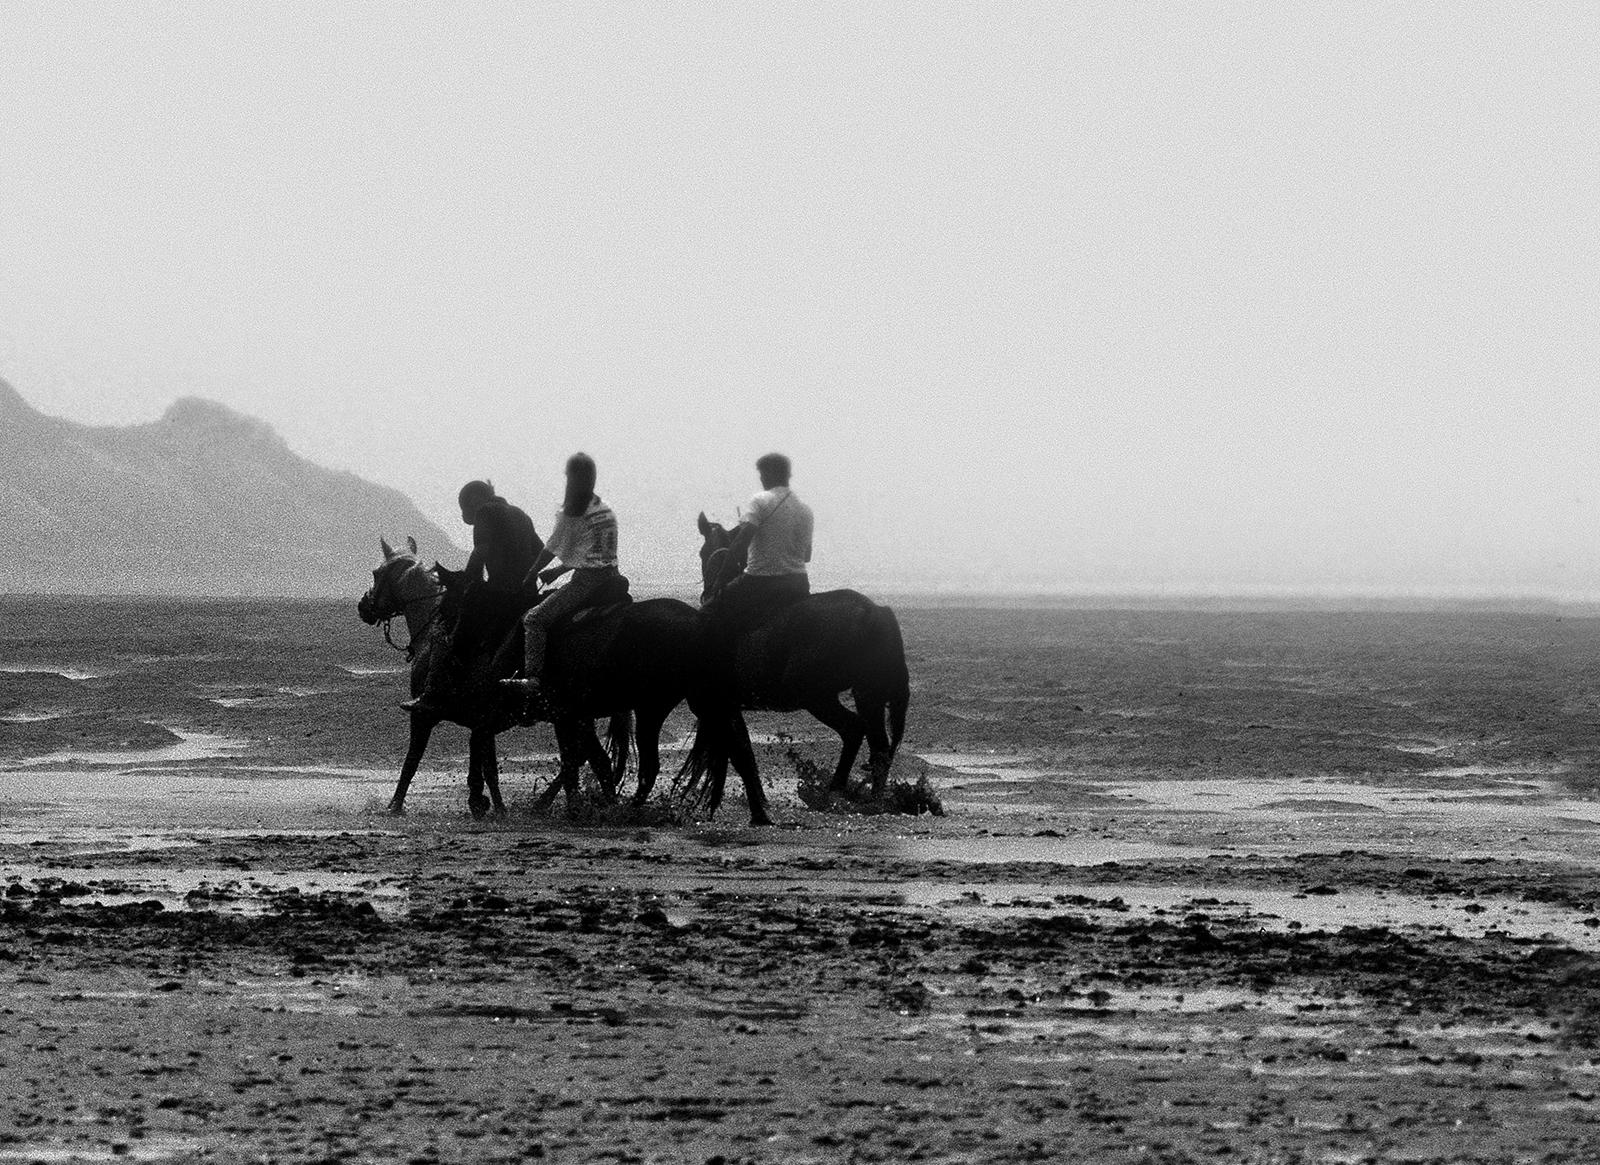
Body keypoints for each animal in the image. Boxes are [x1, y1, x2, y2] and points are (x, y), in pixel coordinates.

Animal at [360, 540, 620, 816]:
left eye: (376, 573)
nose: (363, 607)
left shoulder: (424, 716)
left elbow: (413, 760)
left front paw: (395, 804)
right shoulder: (481, 722)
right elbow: (482, 765)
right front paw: (484, 803)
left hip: (570, 717)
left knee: (586, 759)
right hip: (577, 717)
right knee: (593, 760)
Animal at [684, 518, 915, 800]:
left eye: (702, 552)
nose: (706, 592)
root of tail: (875, 612)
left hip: (817, 696)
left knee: (854, 730)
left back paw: (835, 791)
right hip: (868, 693)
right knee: (879, 745)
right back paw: (870, 797)